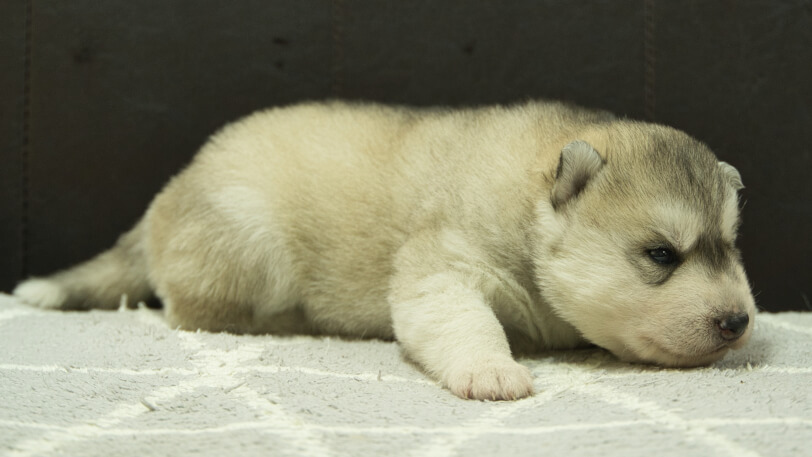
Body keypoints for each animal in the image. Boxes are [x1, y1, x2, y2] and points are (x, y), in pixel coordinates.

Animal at [12, 100, 760, 400]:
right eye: (661, 254)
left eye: (729, 246)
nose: (738, 321)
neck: (526, 203)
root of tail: (161, 201)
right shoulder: (444, 268)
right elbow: (465, 323)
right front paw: (492, 369)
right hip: (249, 241)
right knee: (192, 311)